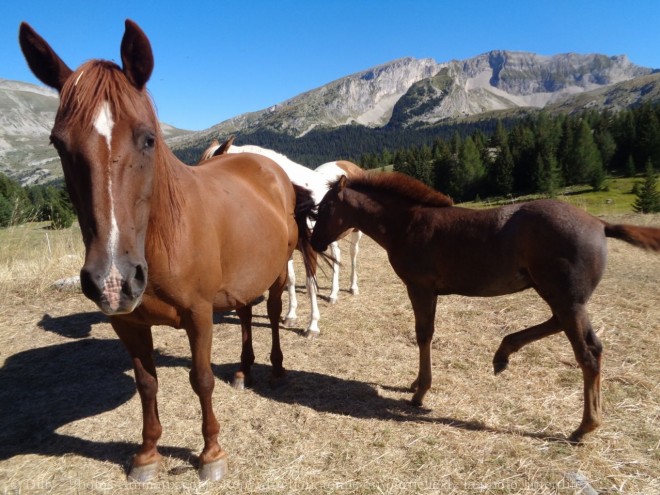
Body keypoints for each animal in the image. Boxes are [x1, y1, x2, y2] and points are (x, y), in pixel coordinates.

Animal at [18, 21, 318, 482]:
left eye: (148, 139)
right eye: (58, 144)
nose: (113, 280)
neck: (162, 237)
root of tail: (268, 166)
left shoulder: (199, 314)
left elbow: (201, 378)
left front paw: (211, 453)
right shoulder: (127, 322)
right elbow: (147, 383)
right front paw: (146, 455)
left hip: (278, 272)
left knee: (268, 312)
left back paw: (277, 368)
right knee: (244, 314)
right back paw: (245, 369)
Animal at [200, 138, 366, 340]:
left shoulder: (309, 249)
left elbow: (311, 284)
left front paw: (312, 326)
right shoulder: (289, 250)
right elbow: (291, 280)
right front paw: (290, 316)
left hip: (356, 231)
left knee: (353, 255)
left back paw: (353, 287)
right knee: (337, 256)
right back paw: (333, 294)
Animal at [310, 173, 660, 442]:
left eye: (325, 207)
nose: (314, 242)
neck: (408, 223)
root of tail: (600, 224)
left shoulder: (420, 287)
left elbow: (423, 334)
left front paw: (420, 393)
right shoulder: (430, 290)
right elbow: (426, 334)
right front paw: (416, 383)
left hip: (567, 298)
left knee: (587, 351)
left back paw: (584, 427)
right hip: (558, 295)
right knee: (558, 324)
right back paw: (503, 353)